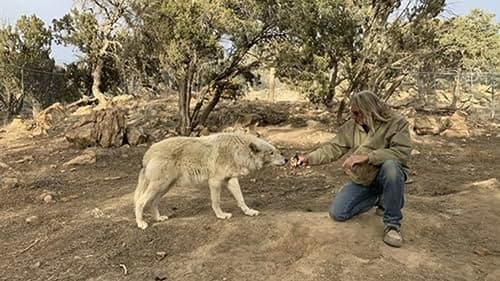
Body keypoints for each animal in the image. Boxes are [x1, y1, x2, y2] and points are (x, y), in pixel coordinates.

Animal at [135, 131, 288, 228]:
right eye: (271, 153)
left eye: (276, 150)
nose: (286, 159)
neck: (237, 151)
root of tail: (148, 152)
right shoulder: (215, 181)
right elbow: (216, 201)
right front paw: (221, 215)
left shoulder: (231, 179)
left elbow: (241, 199)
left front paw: (248, 211)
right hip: (160, 185)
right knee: (140, 202)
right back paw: (141, 223)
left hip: (166, 186)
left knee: (153, 202)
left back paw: (158, 218)